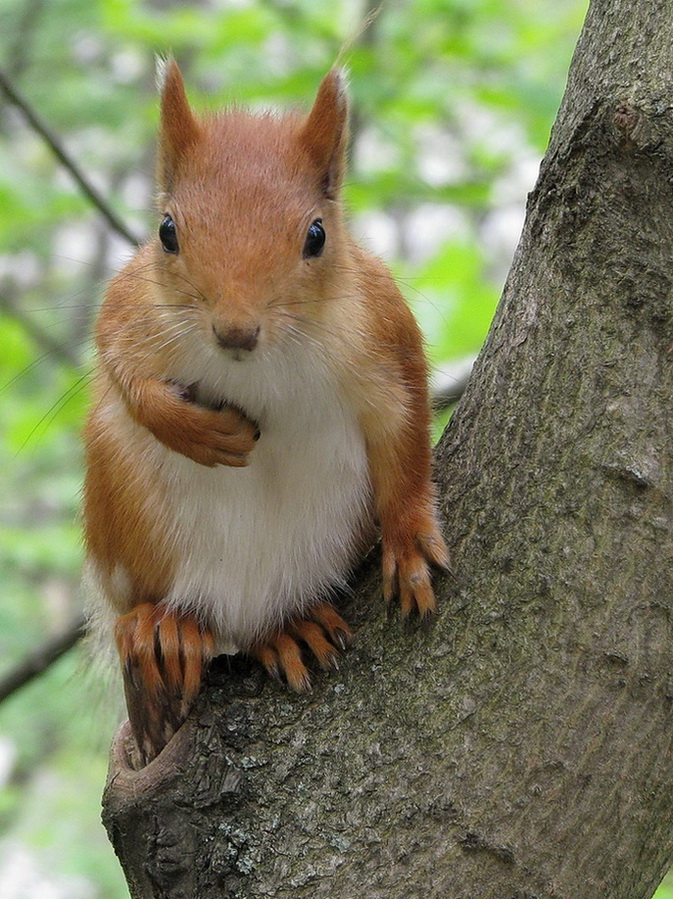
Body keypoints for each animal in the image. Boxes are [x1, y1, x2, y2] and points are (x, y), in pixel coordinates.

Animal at [84, 59, 448, 764]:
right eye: (166, 231)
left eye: (317, 236)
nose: (235, 331)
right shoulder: (131, 308)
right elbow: (121, 369)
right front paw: (199, 432)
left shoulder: (381, 335)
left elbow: (408, 430)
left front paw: (410, 539)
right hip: (127, 515)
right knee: (151, 606)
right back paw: (161, 625)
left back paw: (287, 629)